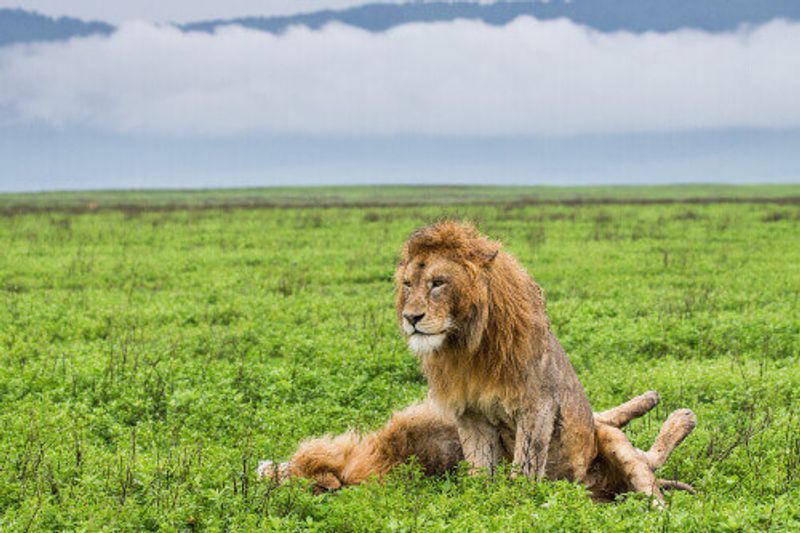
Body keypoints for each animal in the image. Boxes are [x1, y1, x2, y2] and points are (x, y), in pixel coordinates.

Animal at [260, 218, 696, 500]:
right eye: (408, 284)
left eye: (437, 283)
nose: (411, 318)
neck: (464, 344)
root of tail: (598, 482)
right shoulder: (467, 413)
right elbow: (482, 470)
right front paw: (487, 501)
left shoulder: (535, 404)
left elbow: (525, 464)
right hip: (606, 446)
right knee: (637, 452)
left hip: (611, 448)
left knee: (647, 472)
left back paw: (672, 413)